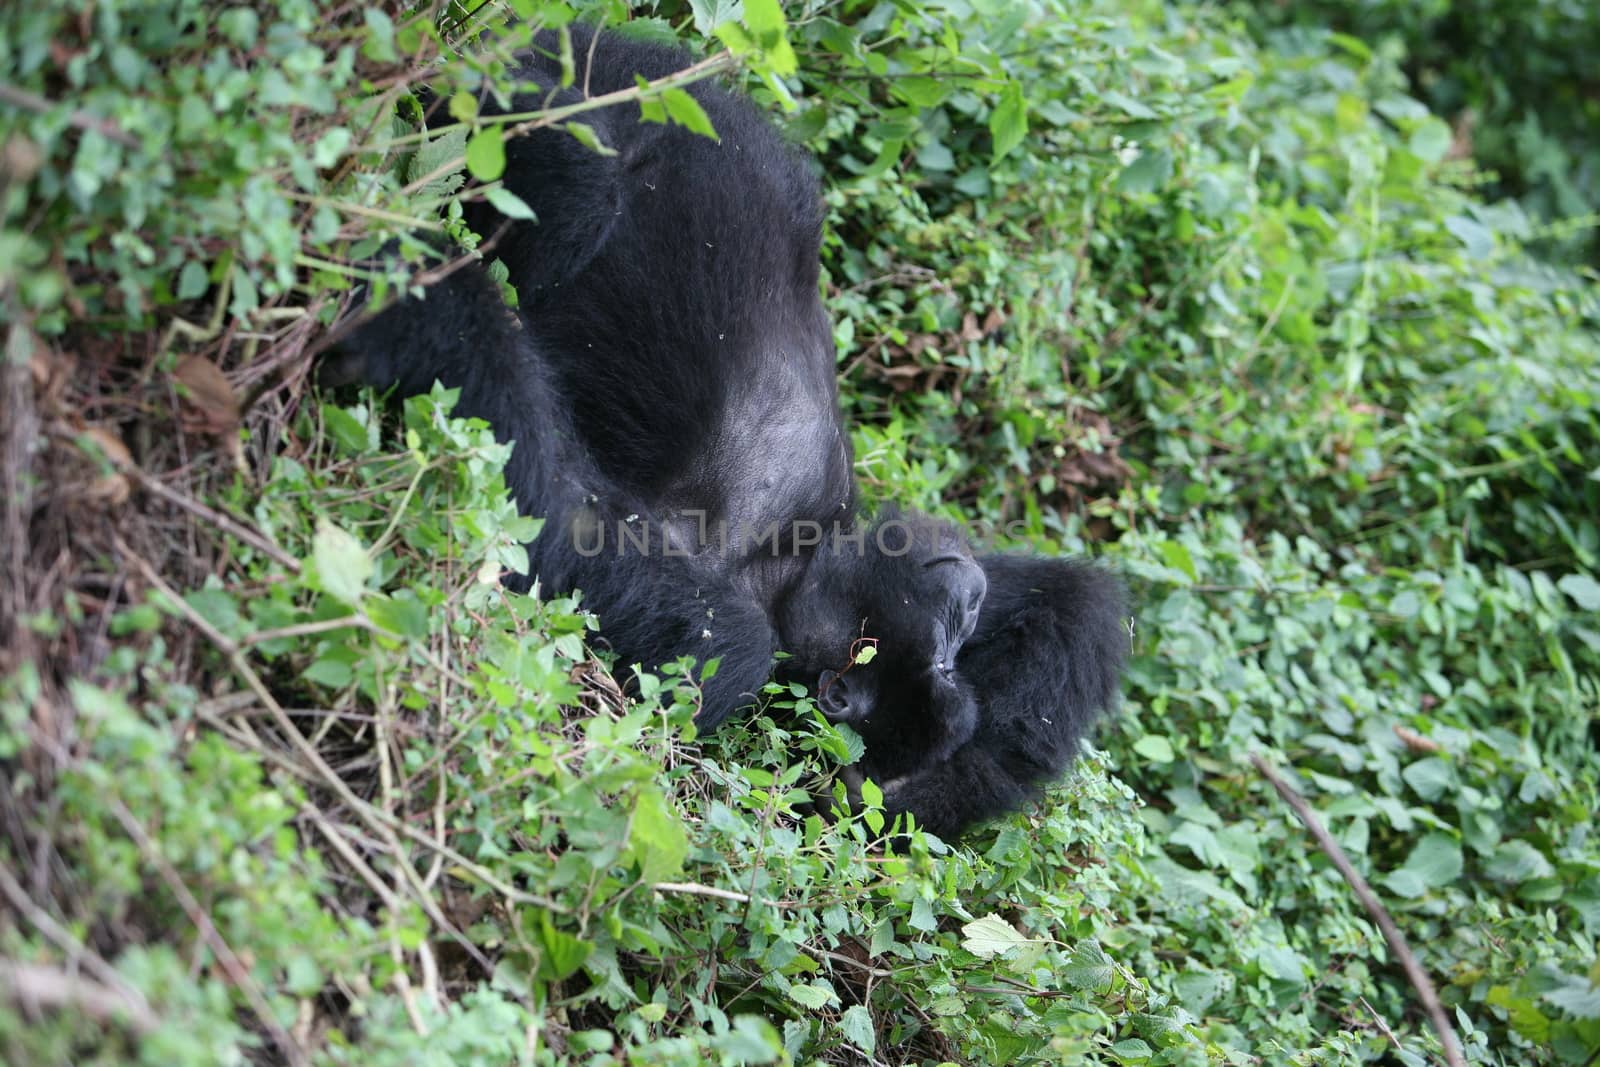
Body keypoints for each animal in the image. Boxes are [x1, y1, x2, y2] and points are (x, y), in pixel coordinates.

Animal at [324, 27, 1126, 844]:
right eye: (951, 644)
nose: (964, 617)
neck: (796, 560)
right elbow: (1073, 606)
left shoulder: (730, 642)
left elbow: (553, 522)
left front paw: (429, 315)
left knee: (571, 185)